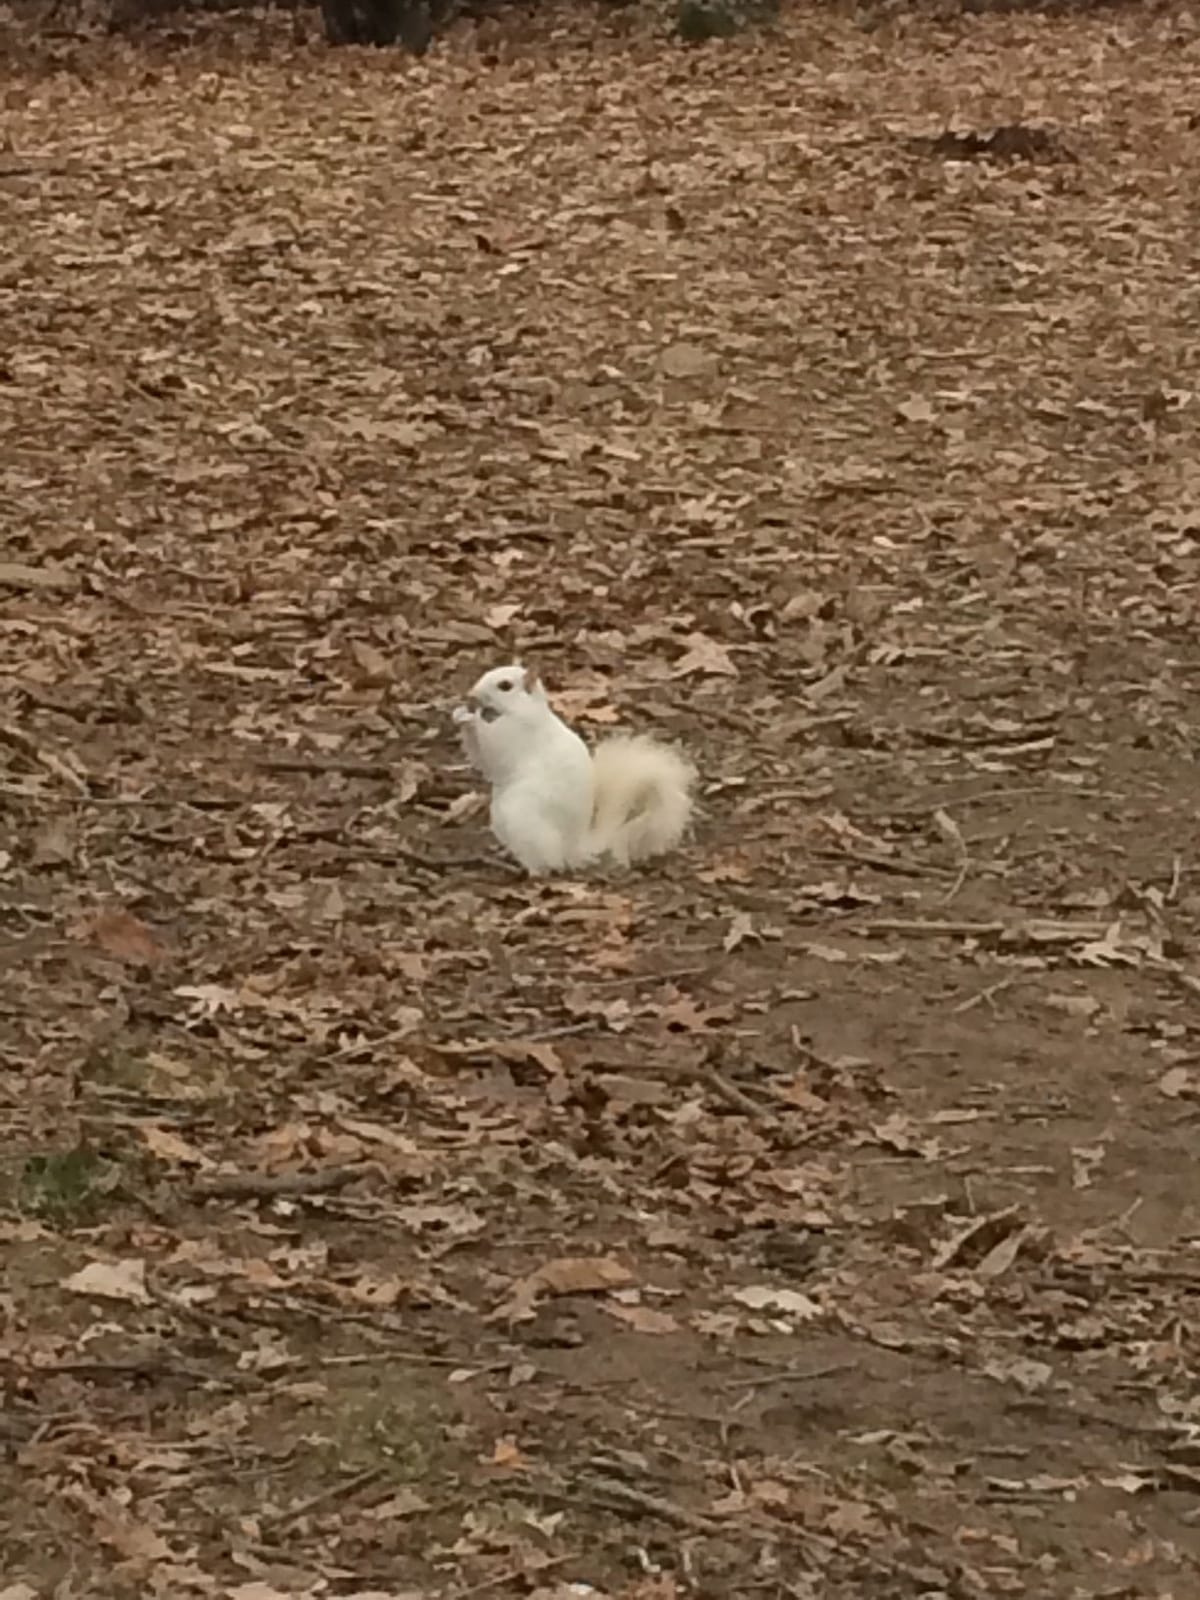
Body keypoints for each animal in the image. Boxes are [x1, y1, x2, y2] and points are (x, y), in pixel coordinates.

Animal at [453, 664, 696, 875]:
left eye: (505, 685)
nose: (471, 694)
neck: (518, 709)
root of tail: (573, 848)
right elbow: (483, 761)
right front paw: (460, 714)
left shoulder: (517, 732)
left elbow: (493, 746)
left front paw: (472, 719)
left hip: (524, 821)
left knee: (547, 864)